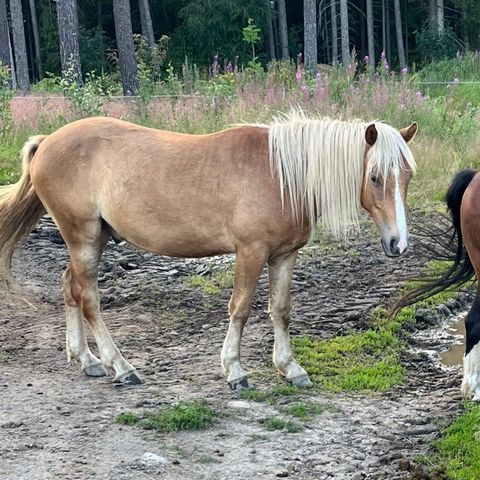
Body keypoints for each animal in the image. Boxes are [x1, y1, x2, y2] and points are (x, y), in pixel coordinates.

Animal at [0, 113, 416, 390]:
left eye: (407, 176)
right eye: (375, 177)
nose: (398, 243)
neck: (280, 176)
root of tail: (47, 142)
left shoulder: (284, 255)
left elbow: (281, 310)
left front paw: (290, 368)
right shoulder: (250, 252)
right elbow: (241, 308)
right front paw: (235, 370)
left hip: (93, 239)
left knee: (69, 287)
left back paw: (86, 359)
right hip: (83, 237)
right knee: (88, 298)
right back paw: (121, 366)